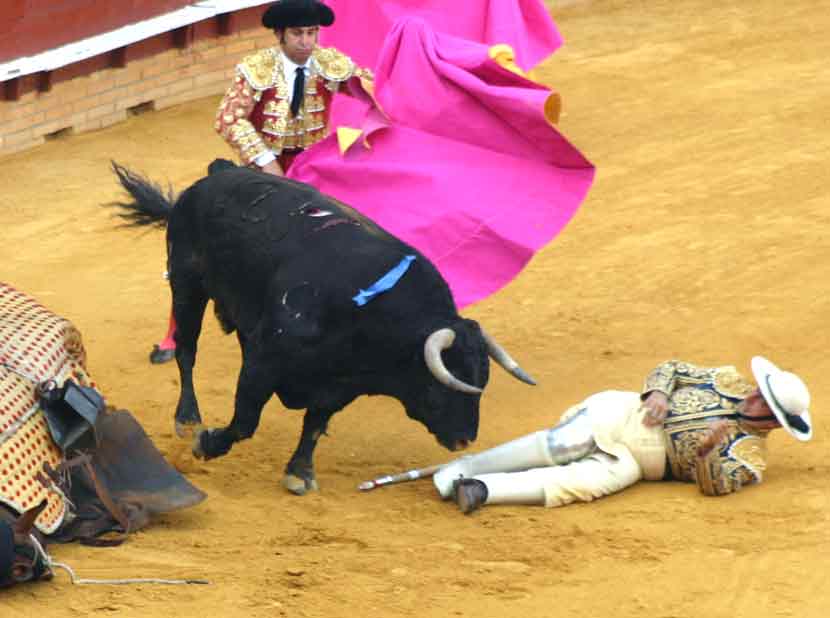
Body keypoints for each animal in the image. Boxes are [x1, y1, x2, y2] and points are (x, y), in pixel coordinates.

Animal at [110, 161, 536, 494]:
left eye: (482, 378)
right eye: (444, 384)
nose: (465, 438)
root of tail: (210, 179)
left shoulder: (339, 385)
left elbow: (314, 424)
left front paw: (299, 473)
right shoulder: (265, 362)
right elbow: (245, 419)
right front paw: (207, 443)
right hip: (187, 285)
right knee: (186, 350)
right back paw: (187, 419)